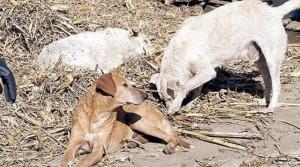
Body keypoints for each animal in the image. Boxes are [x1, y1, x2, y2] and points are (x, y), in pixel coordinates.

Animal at [61, 69, 190, 167]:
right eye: (124, 85)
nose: (146, 95)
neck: (94, 116)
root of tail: (155, 108)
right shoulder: (72, 146)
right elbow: (64, 161)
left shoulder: (98, 150)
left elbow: (82, 163)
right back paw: (132, 143)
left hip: (138, 122)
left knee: (171, 137)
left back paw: (170, 147)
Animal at [151, 0, 300, 115]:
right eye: (163, 100)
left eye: (169, 98)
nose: (167, 110)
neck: (180, 51)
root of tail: (274, 11)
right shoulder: (200, 74)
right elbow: (195, 89)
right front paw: (190, 104)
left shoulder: (207, 71)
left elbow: (185, 86)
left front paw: (175, 107)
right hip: (260, 61)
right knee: (268, 81)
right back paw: (264, 101)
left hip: (272, 59)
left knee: (277, 84)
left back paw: (271, 107)